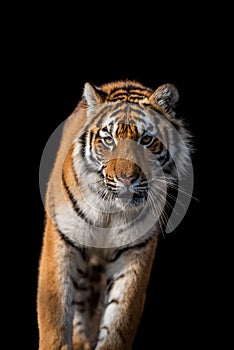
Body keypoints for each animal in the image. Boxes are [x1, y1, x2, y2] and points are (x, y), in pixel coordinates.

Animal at [36, 80, 192, 350]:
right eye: (108, 140)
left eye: (146, 139)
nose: (127, 179)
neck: (110, 210)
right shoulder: (63, 237)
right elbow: (55, 311)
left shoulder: (135, 249)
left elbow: (121, 317)